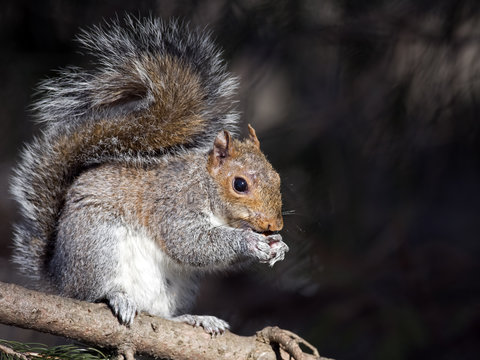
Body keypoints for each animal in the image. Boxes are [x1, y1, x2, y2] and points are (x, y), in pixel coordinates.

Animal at [10, 15, 288, 334]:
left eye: (278, 179)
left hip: (176, 286)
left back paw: (193, 318)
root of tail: (58, 280)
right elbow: (190, 242)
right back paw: (117, 297)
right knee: (92, 293)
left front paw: (278, 245)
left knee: (160, 314)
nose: (273, 225)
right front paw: (249, 241)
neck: (205, 186)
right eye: (239, 184)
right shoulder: (174, 202)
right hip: (96, 248)